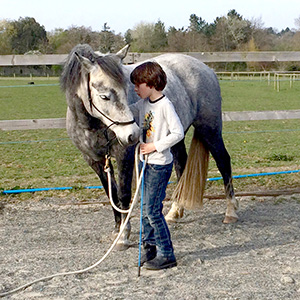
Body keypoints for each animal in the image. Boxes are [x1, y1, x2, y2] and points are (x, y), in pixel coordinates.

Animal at [60, 44, 239, 250]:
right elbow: (110, 193)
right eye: (104, 96)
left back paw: (231, 211)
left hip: (209, 129)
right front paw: (116, 230)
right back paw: (175, 212)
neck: (92, 125)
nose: (132, 134)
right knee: (181, 165)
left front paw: (123, 236)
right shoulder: (95, 161)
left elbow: (123, 194)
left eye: (126, 89)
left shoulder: (124, 154)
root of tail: (206, 69)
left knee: (223, 162)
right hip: (175, 137)